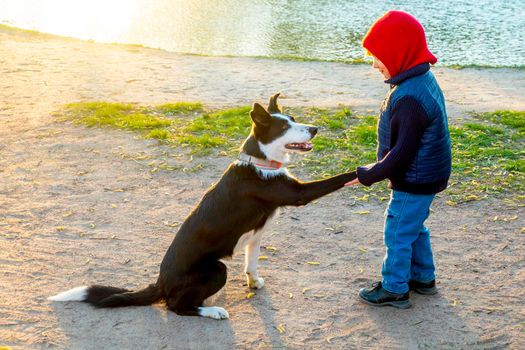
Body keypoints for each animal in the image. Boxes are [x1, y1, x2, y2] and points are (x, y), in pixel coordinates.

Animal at [49, 93, 356, 320]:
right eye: (284, 127)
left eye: (293, 119)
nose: (315, 129)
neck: (260, 162)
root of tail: (160, 283)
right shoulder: (299, 194)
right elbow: (340, 177)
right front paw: (365, 170)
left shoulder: (255, 236)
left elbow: (252, 263)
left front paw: (253, 282)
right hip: (217, 269)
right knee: (176, 307)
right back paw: (212, 310)